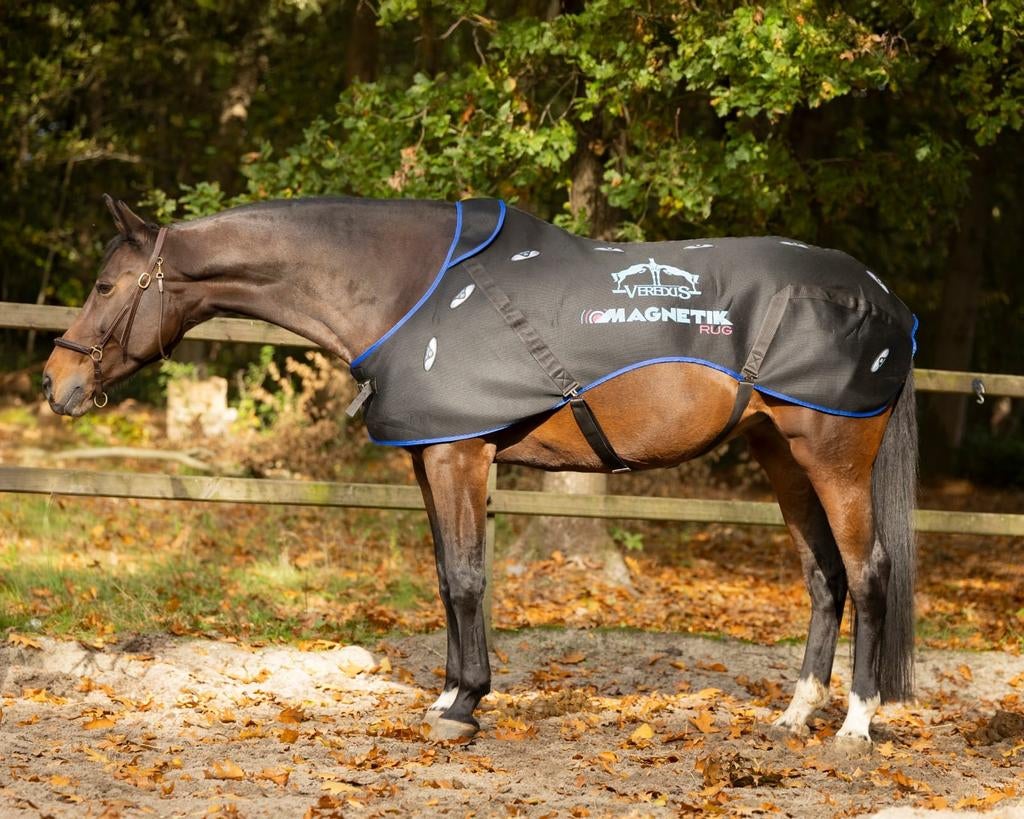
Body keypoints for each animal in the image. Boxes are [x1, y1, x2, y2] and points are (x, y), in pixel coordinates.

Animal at [43, 194, 918, 750]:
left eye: (105, 285)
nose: (58, 383)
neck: (412, 289)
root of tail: (886, 300)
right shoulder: (433, 457)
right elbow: (444, 574)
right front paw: (453, 692)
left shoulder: (458, 451)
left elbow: (465, 577)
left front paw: (462, 705)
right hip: (780, 453)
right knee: (822, 575)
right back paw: (794, 715)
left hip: (833, 457)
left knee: (868, 571)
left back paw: (854, 725)